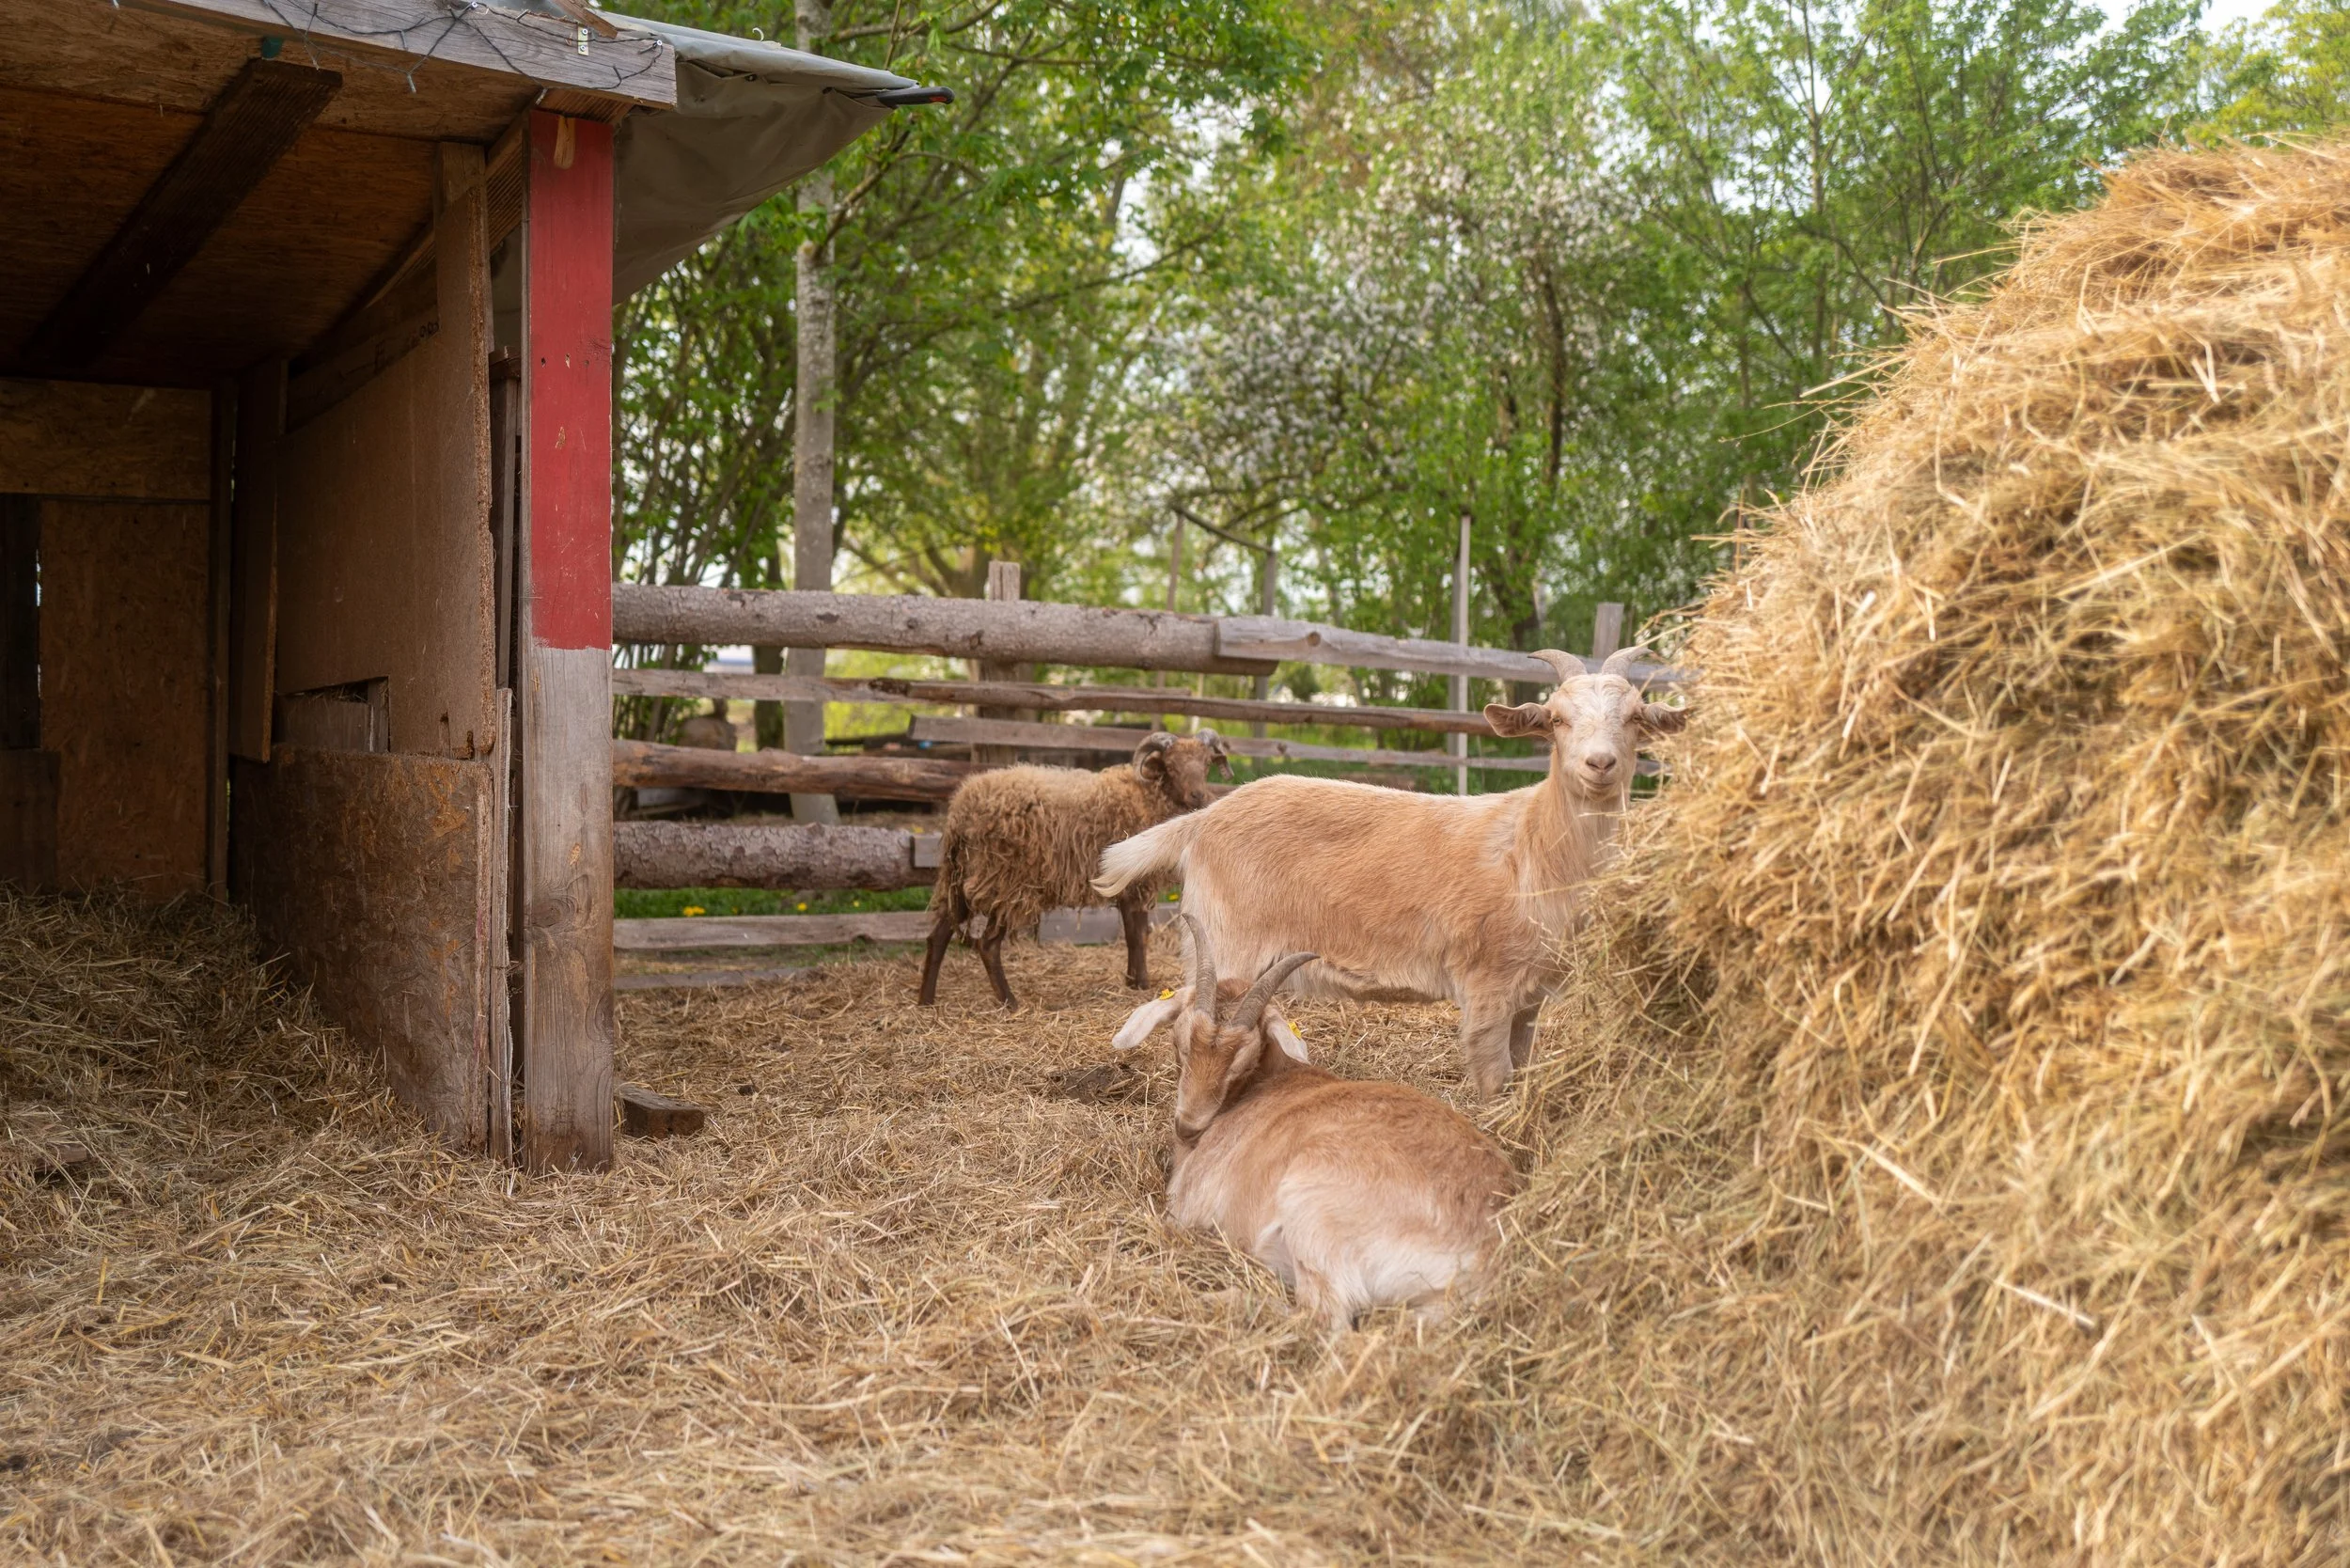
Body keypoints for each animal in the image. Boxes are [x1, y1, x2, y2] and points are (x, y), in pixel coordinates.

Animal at [918, 730, 1231, 1009]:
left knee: (938, 935)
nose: (1198, 796)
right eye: (1171, 765)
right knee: (987, 945)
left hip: (960, 879)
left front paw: (1132, 982)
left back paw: (926, 1000)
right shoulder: (1136, 883)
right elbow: (1139, 935)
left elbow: (1132, 935)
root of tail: (961, 809)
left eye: (1206, 764)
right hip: (1005, 881)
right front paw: (1142, 983)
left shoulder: (1124, 886)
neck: (1146, 795)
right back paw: (1010, 1002)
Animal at [1094, 646, 1685, 1097]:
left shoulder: (1530, 997)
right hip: (1221, 946)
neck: (1531, 847)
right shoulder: (1487, 986)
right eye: (1557, 719)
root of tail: (1200, 821)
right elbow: (1494, 1084)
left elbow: (1520, 1075)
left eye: (1636, 718)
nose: (1600, 763)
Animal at [1115, 916, 1519, 1333]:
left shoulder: (1187, 1208)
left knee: (1323, 1316)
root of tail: (1483, 1259)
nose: (1189, 1127)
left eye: (1242, 1063)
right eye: (1180, 1044)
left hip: (1311, 1211)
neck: (1261, 1085)